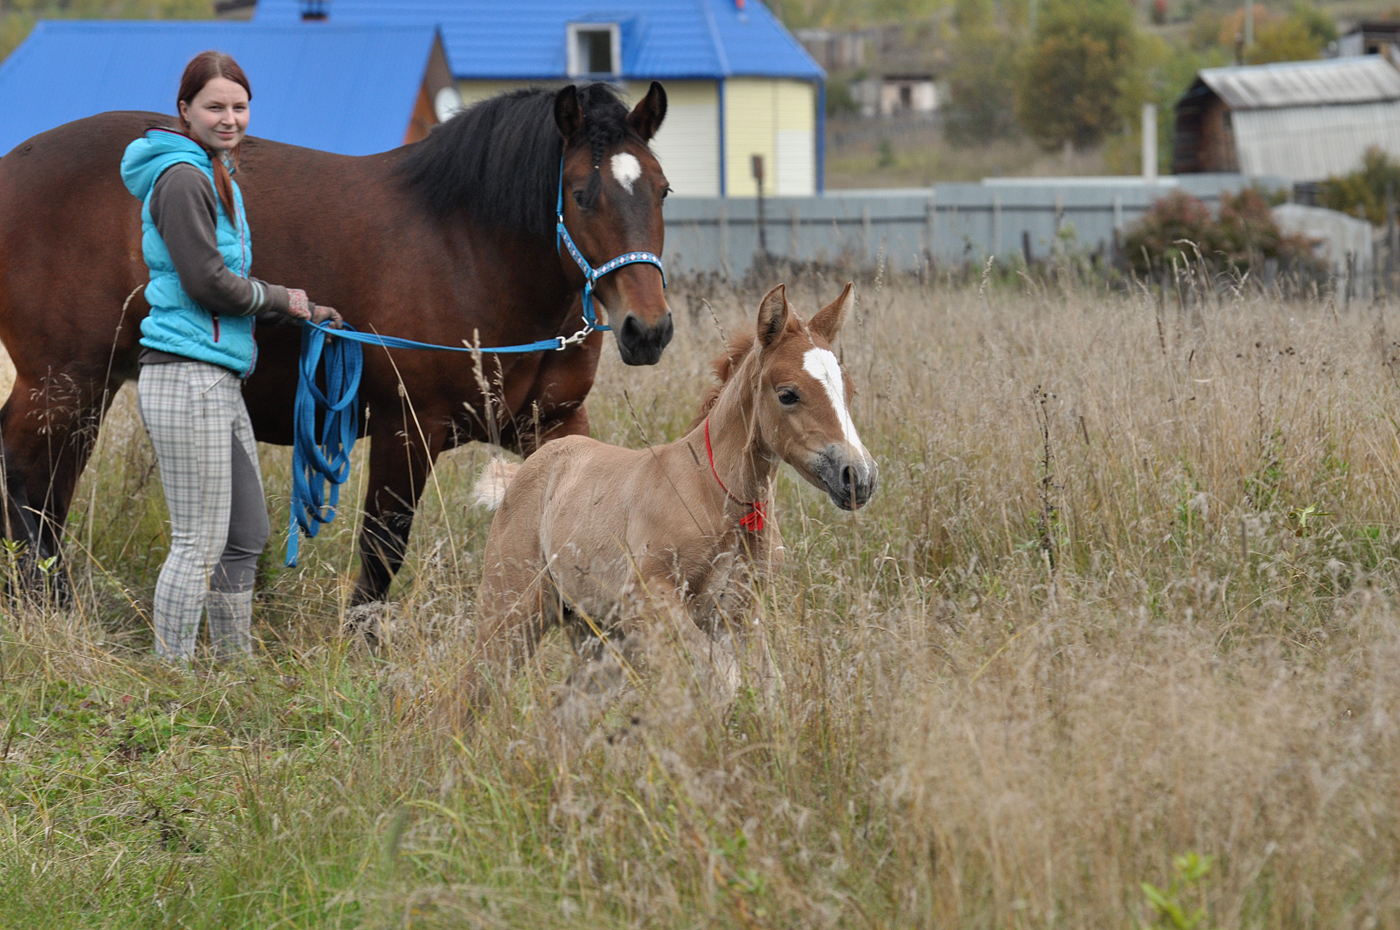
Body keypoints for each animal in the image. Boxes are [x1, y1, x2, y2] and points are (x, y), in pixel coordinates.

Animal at [0, 83, 672, 607]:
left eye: (662, 189)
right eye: (581, 193)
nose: (648, 329)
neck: (469, 249)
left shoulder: (554, 423)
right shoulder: (408, 429)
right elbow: (384, 544)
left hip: (88, 388)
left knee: (50, 487)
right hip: (63, 384)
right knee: (27, 480)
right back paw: (46, 602)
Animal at [456, 282, 873, 717]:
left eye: (849, 390)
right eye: (788, 394)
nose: (857, 477)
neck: (715, 494)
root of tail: (526, 469)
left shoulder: (741, 612)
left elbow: (765, 688)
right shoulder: (651, 602)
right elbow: (723, 679)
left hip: (600, 637)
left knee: (565, 710)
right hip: (510, 612)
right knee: (467, 694)